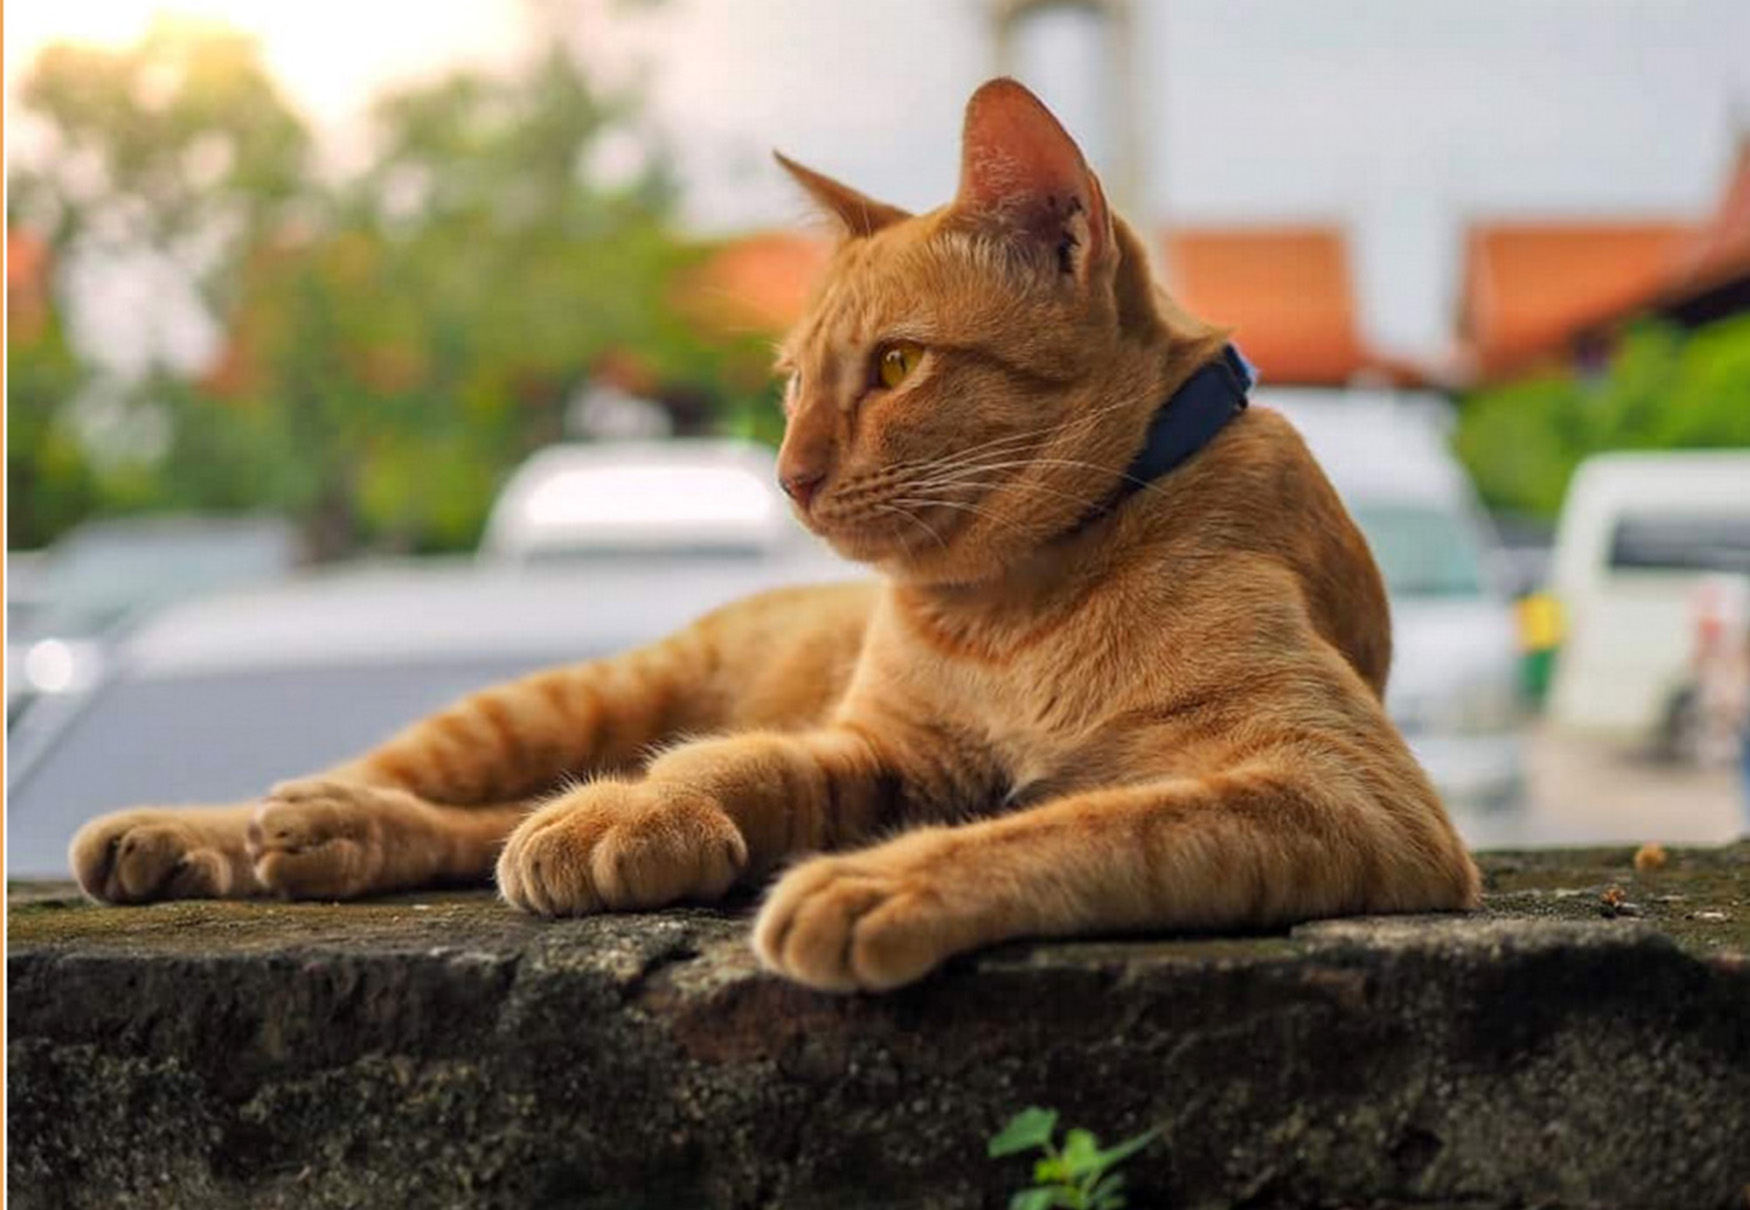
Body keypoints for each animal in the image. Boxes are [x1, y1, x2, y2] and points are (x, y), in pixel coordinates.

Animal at [75, 82, 1484, 994]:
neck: (1010, 606)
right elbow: (739, 759)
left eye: (898, 366)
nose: (790, 476)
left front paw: (882, 882)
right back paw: (217, 826)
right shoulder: (883, 749)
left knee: (481, 822)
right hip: (559, 697)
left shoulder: (1340, 788)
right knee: (429, 776)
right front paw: (654, 812)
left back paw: (346, 833)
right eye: (795, 382)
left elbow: (1100, 824)